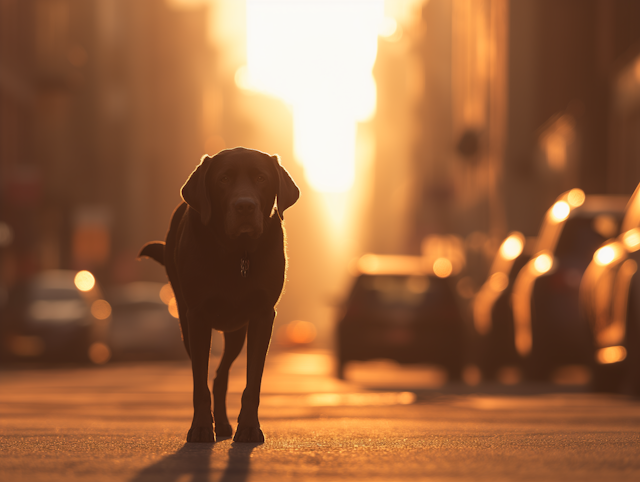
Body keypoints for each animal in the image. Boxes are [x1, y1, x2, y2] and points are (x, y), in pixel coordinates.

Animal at [139, 148, 298, 444]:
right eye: (223, 179)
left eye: (261, 178)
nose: (245, 206)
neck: (237, 252)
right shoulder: (197, 316)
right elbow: (199, 383)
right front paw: (201, 428)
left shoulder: (263, 315)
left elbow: (252, 381)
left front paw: (249, 428)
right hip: (186, 323)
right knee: (207, 375)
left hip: (236, 331)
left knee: (220, 375)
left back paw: (224, 424)